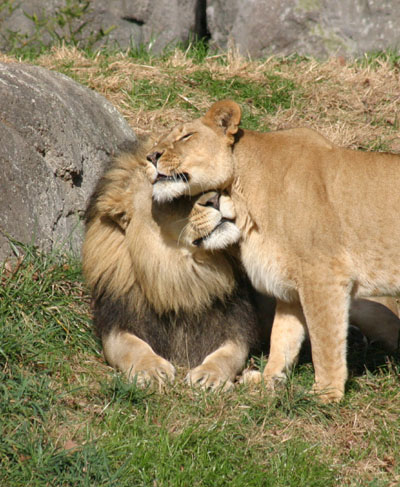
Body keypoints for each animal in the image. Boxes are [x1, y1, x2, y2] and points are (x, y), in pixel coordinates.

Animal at [81, 143, 264, 390]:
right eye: (172, 200)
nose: (215, 199)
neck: (178, 274)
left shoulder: (238, 324)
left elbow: (229, 353)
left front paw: (210, 375)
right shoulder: (115, 321)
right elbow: (131, 346)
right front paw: (151, 369)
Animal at [146, 100, 400, 404]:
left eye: (186, 136)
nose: (149, 157)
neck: (242, 195)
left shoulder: (323, 275)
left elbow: (325, 340)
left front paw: (324, 395)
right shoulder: (290, 284)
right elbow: (283, 336)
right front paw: (268, 381)